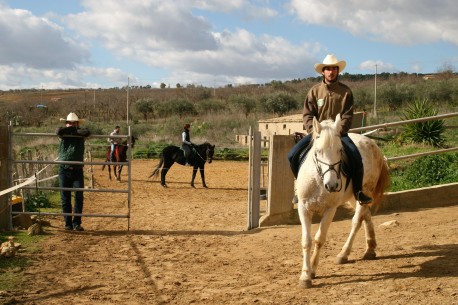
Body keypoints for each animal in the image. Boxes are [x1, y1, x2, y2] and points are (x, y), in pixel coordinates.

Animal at [296, 114, 390, 288]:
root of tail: (372, 143)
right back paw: (370, 249)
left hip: (364, 192)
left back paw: (344, 254)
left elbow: (319, 239)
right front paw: (305, 276)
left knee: (357, 221)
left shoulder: (330, 209)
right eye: (318, 151)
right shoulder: (303, 207)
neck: (319, 180)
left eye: (340, 150)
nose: (332, 185)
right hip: (355, 197)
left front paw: (311, 271)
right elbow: (306, 241)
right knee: (366, 215)